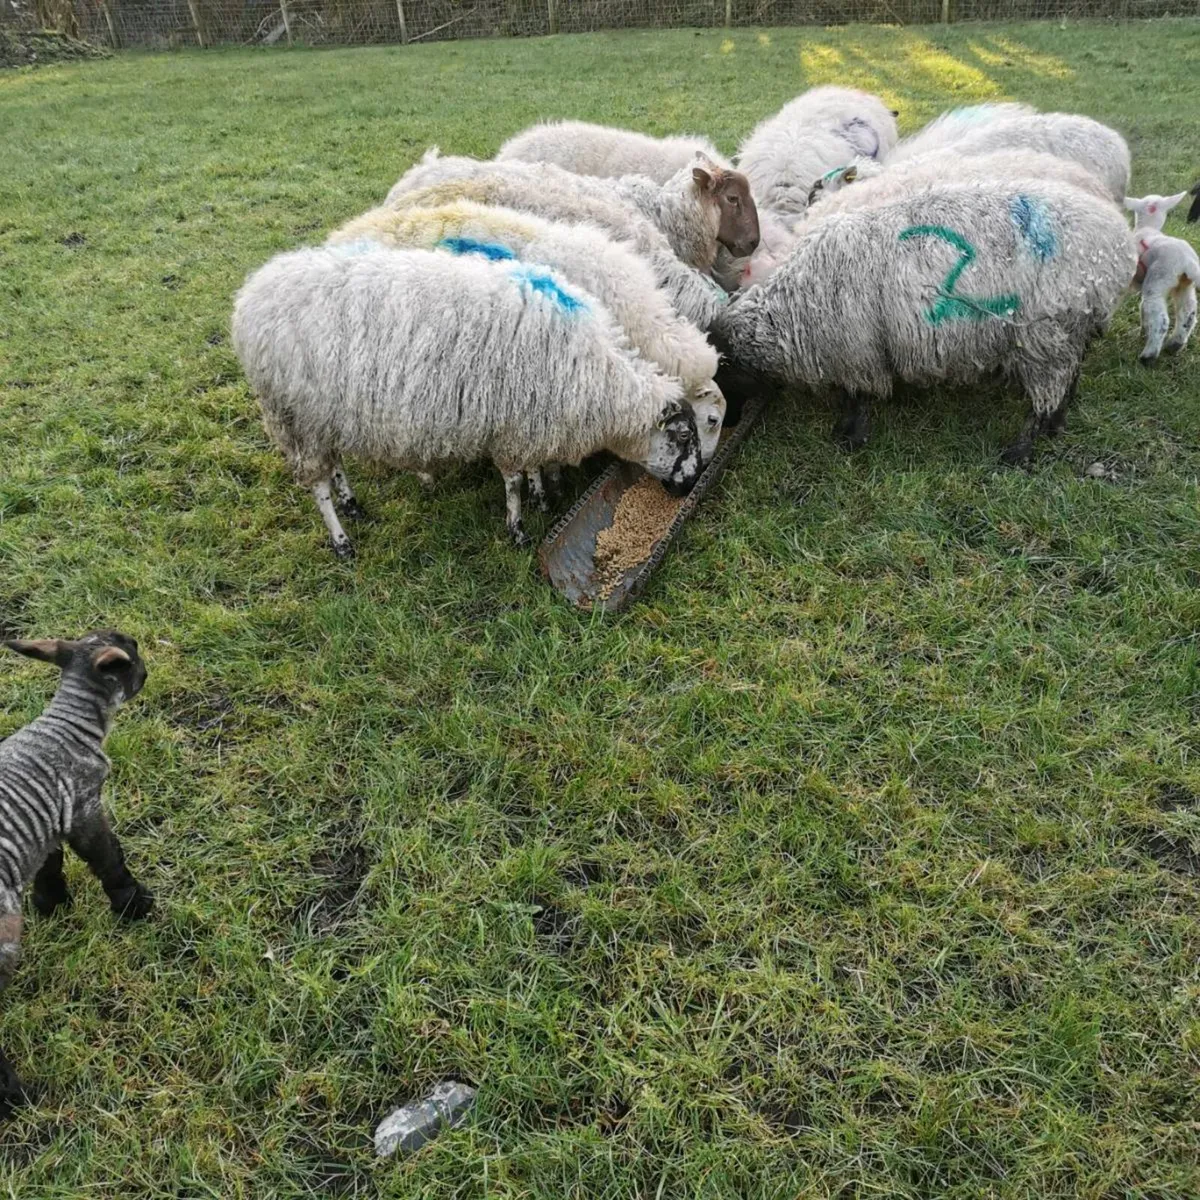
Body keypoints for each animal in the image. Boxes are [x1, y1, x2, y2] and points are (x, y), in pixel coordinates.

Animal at [0, 631, 154, 1112]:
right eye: (134, 653)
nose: (148, 671)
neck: (67, 724)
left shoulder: (48, 821)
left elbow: (50, 867)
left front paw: (53, 905)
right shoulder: (85, 810)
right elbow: (108, 859)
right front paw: (134, 905)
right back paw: (14, 1096)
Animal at [231, 244, 704, 555]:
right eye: (683, 437)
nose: (690, 486)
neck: (601, 380)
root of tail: (253, 294)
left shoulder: (532, 420)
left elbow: (532, 470)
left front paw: (542, 497)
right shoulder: (514, 426)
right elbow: (512, 482)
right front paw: (518, 528)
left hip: (321, 415)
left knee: (336, 466)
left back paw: (353, 505)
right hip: (293, 415)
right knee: (317, 485)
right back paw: (341, 540)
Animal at [711, 179, 1136, 465]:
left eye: (722, 377)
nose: (730, 421)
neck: (793, 308)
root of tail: (1120, 242)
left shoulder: (858, 350)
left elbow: (857, 396)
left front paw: (850, 437)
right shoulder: (854, 349)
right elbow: (851, 394)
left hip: (1044, 334)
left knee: (1047, 394)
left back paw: (1020, 450)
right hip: (1069, 331)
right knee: (1071, 375)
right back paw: (1057, 424)